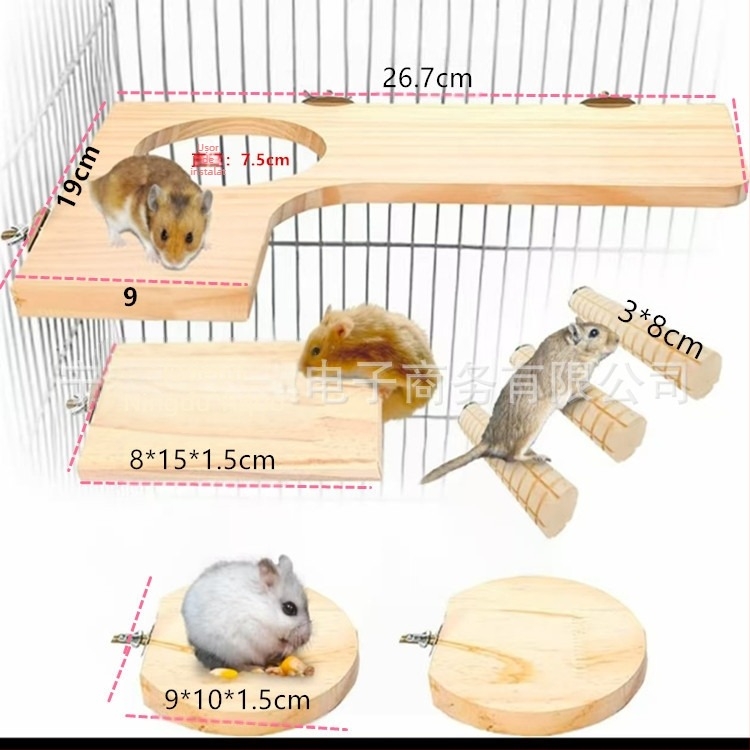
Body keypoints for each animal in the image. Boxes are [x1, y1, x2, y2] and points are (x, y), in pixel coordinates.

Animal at [181, 555, 312, 672]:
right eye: (289, 608)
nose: (305, 639)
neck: (262, 611)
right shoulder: (257, 632)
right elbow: (275, 644)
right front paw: (288, 648)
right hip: (228, 651)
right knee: (237, 665)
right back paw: (254, 668)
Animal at [420, 318, 620, 484]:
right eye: (594, 333)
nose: (618, 339)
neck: (574, 349)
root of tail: (488, 440)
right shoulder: (569, 382)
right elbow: (575, 393)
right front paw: (585, 395)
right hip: (530, 431)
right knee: (512, 457)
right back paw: (538, 457)